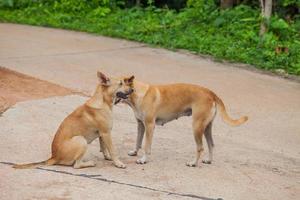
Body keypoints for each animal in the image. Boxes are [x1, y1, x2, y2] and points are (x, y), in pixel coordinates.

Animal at [116, 79, 247, 166]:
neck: (139, 94)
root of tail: (211, 93)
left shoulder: (149, 126)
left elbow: (146, 145)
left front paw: (143, 159)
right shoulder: (140, 125)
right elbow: (138, 141)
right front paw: (134, 152)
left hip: (197, 127)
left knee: (200, 147)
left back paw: (193, 163)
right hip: (206, 127)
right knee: (211, 144)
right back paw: (209, 160)